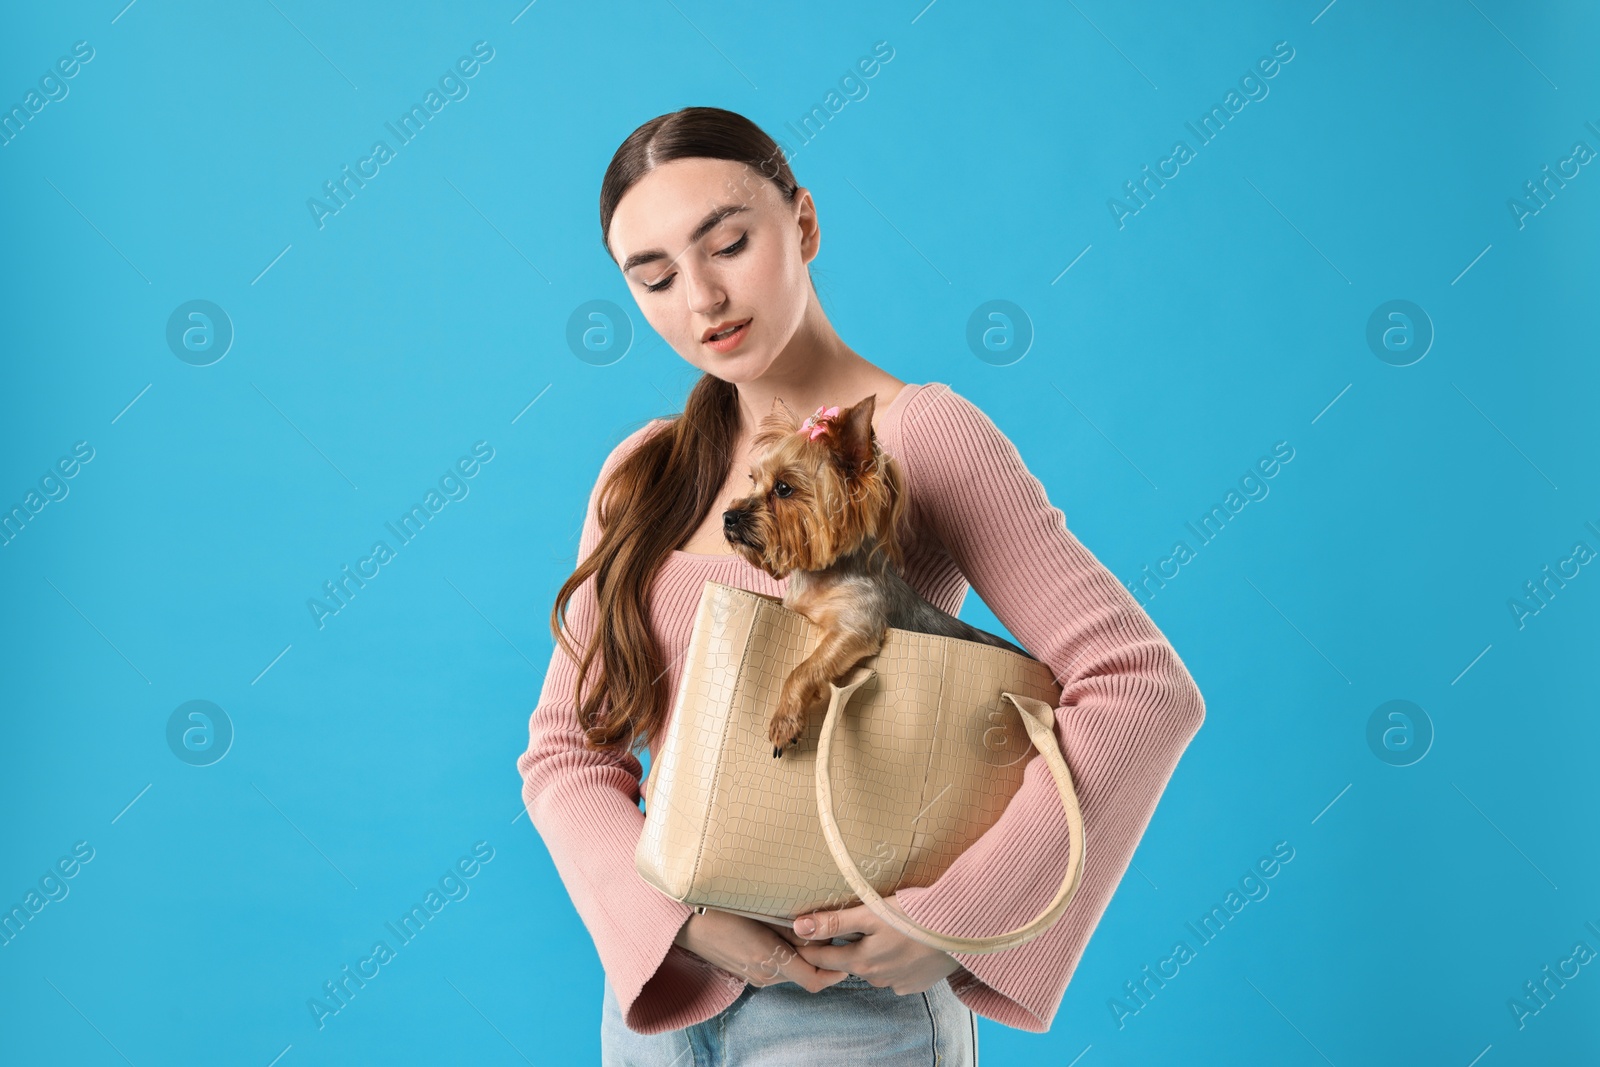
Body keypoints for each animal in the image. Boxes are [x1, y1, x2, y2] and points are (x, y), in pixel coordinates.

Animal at [720, 395, 1030, 758]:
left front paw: (785, 721)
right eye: (753, 479)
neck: (821, 576)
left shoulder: (854, 627)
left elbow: (804, 669)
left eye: (783, 488)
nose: (728, 516)